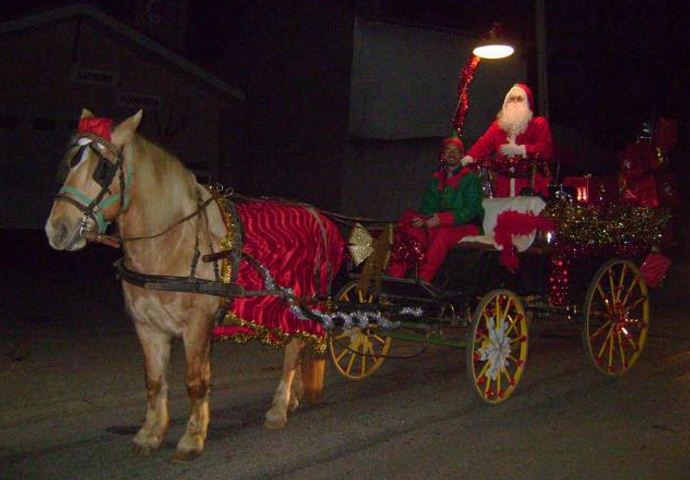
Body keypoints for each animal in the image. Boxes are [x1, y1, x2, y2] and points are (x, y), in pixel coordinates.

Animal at [44, 109, 342, 462]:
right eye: (69, 164)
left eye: (102, 170)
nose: (57, 229)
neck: (172, 242)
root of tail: (317, 215)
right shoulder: (147, 326)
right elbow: (154, 382)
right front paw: (150, 434)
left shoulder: (197, 326)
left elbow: (196, 382)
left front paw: (192, 438)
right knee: (293, 348)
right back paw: (292, 397)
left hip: (294, 303)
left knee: (292, 350)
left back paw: (278, 407)